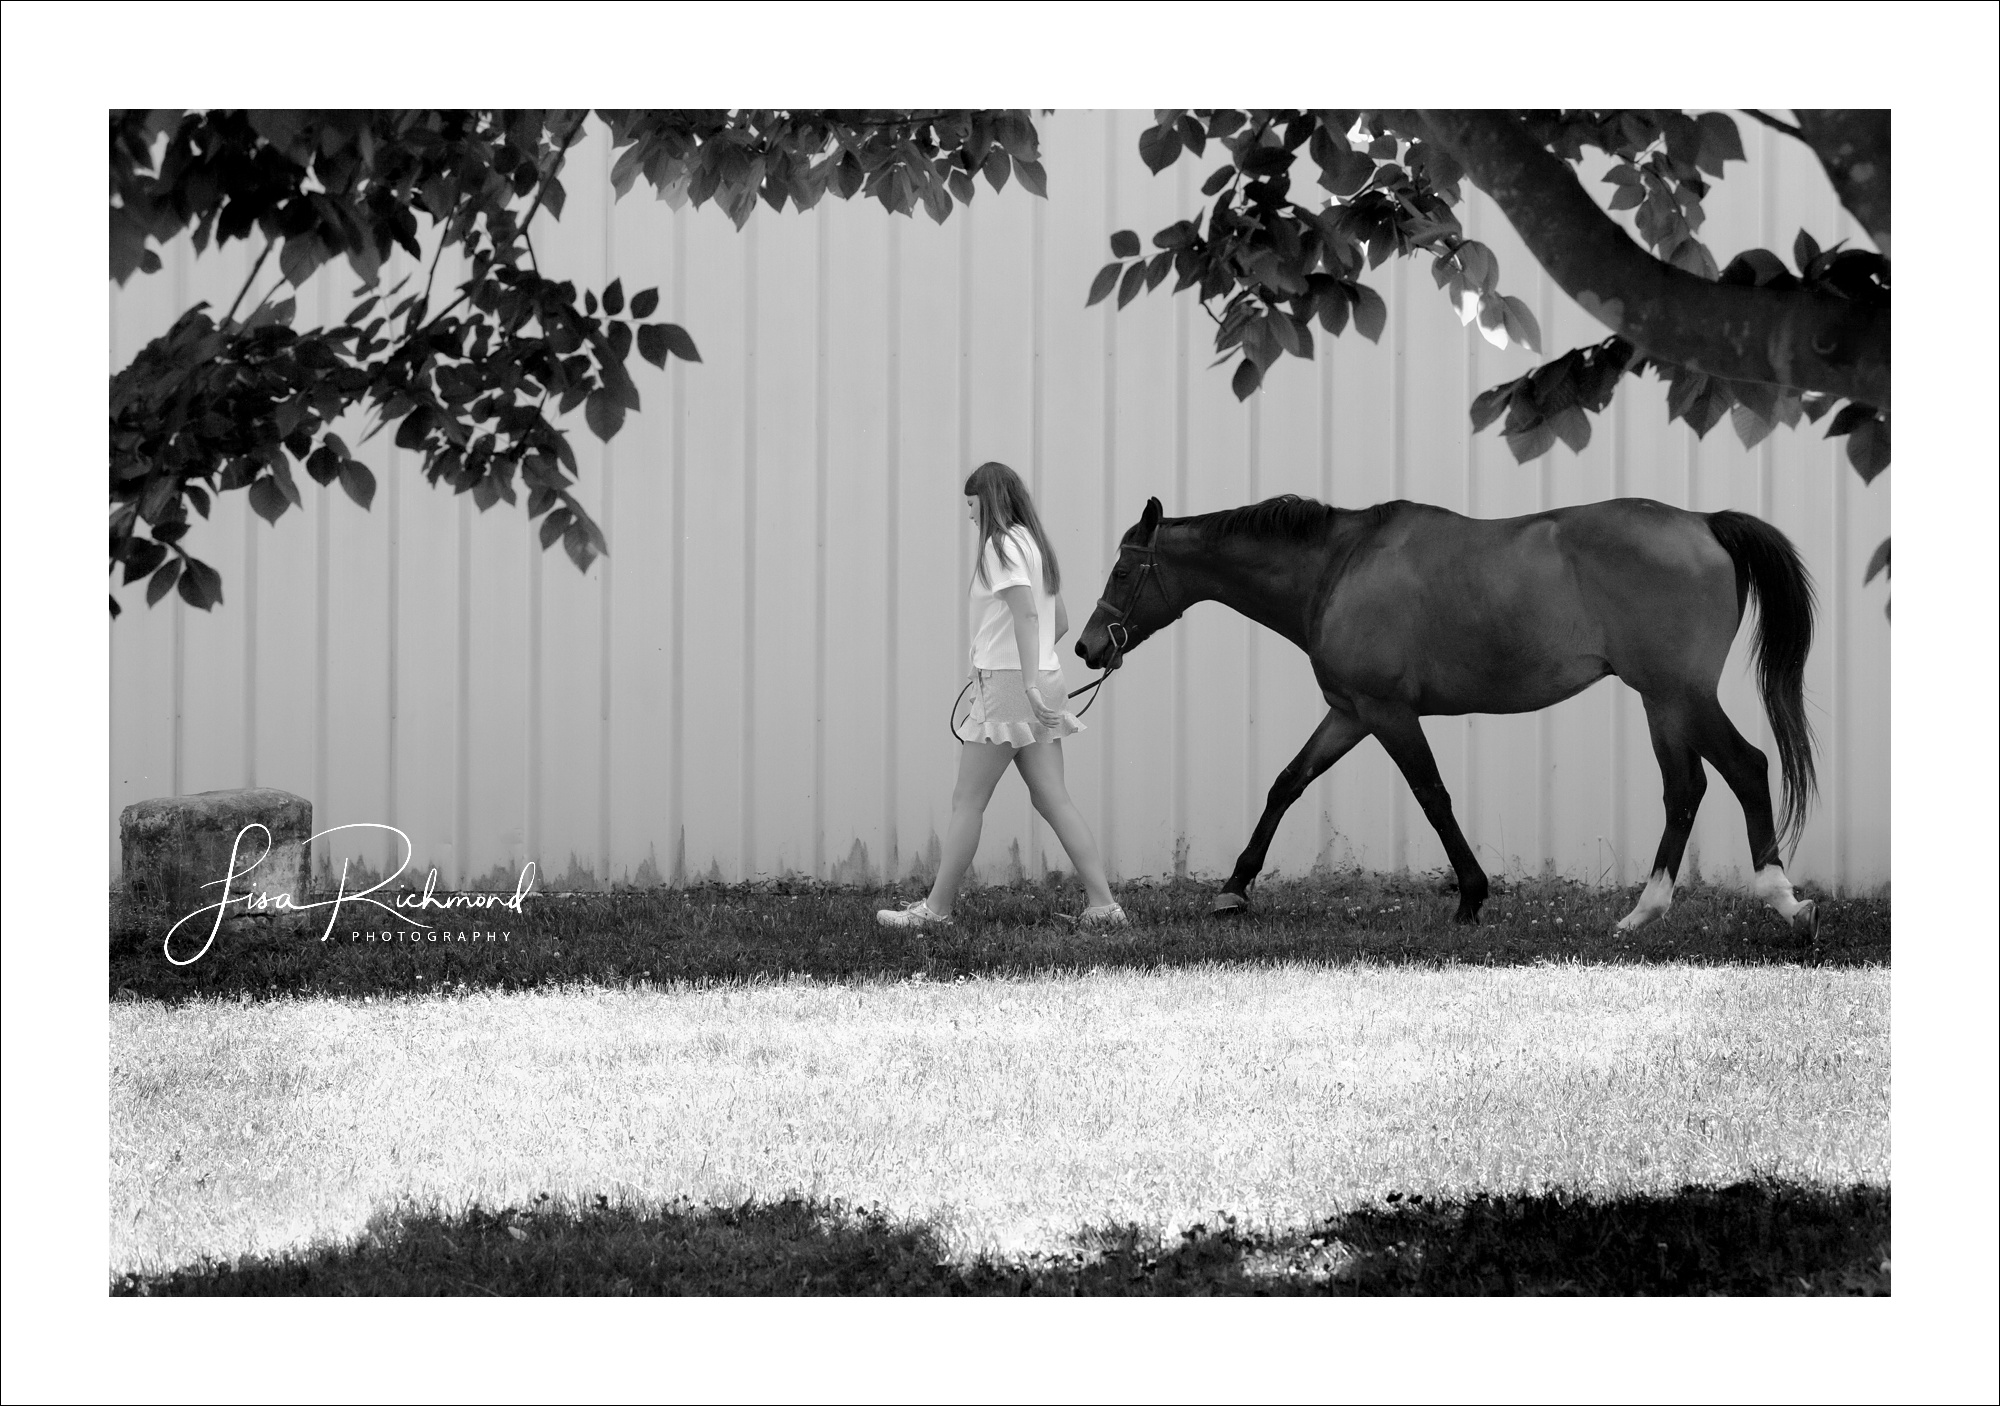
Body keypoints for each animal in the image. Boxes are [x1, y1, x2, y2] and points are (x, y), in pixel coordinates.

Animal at [1088, 490, 1824, 940]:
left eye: (1122, 573)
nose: (1087, 646)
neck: (1336, 568)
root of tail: (1704, 521)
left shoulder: (1387, 712)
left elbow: (1432, 795)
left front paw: (1471, 895)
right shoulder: (1349, 713)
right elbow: (1286, 784)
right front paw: (1234, 888)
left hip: (1679, 694)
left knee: (1745, 767)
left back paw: (1784, 901)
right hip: (1662, 703)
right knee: (1686, 789)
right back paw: (1643, 914)